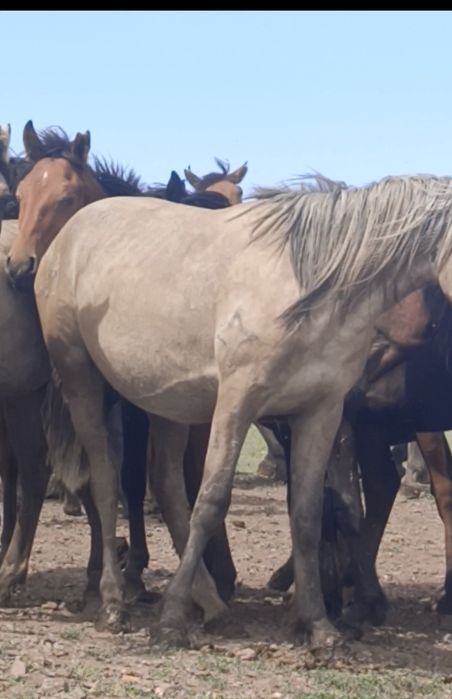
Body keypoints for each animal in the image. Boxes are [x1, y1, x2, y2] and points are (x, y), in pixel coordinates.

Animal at [9, 170, 452, 650]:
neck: (311, 287)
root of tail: (65, 238)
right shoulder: (238, 402)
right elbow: (211, 501)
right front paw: (171, 617)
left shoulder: (322, 413)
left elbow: (308, 515)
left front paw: (319, 625)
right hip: (84, 383)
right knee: (108, 481)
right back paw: (113, 601)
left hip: (166, 403)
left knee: (166, 486)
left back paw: (212, 605)